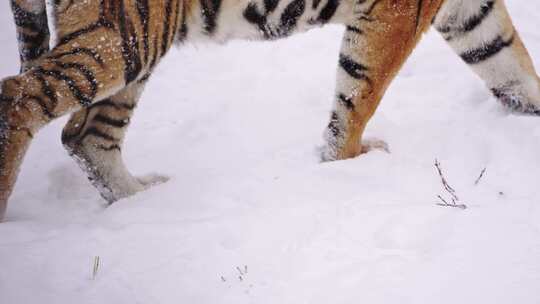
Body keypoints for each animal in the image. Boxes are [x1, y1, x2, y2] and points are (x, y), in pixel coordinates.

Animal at [0, 0, 536, 220]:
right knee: (19, 96)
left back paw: (144, 199)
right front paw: (347, 165)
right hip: (122, 39)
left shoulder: (469, 8)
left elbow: (507, 63)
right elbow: (358, 96)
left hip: (135, 44)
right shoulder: (399, 13)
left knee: (87, 136)